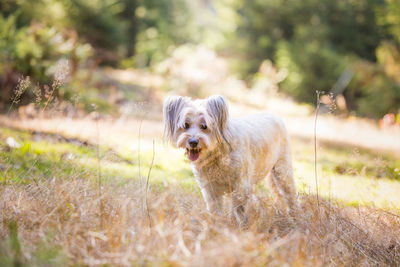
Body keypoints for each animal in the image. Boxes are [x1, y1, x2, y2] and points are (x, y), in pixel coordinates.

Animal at [162, 95, 296, 225]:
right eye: (186, 125)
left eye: (204, 126)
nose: (193, 142)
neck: (217, 154)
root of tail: (273, 115)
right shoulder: (211, 189)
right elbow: (216, 209)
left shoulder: (240, 186)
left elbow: (239, 210)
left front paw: (241, 226)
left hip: (282, 172)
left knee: (291, 195)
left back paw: (295, 215)